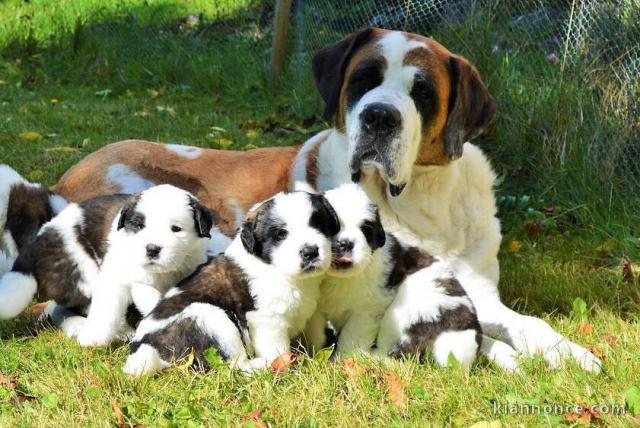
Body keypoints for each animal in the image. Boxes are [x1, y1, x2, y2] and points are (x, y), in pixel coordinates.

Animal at [0, 185, 215, 348]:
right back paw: (119, 331)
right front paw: (92, 337)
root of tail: (34, 246)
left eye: (176, 229)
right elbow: (108, 307)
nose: (152, 249)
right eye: (139, 226)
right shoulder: (115, 276)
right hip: (83, 271)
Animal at [121, 191, 340, 374]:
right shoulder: (267, 321)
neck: (277, 269)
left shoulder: (312, 313)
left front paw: (320, 355)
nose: (310, 251)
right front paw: (284, 362)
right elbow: (277, 348)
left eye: (319, 225)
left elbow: (316, 335)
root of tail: (147, 348)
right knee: (235, 364)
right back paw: (263, 365)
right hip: (209, 317)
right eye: (281, 235)